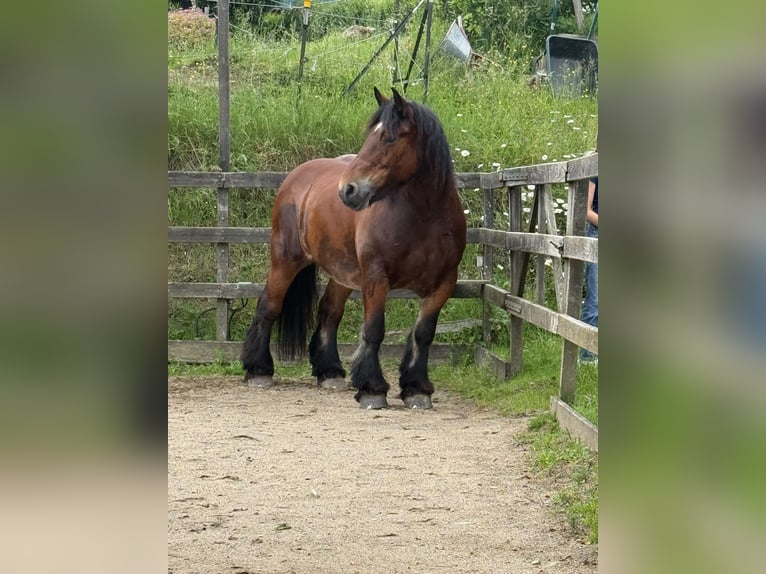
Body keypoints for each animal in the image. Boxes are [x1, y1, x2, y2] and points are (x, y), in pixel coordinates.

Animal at [241, 87, 467, 409]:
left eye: (389, 138)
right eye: (369, 135)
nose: (347, 190)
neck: (425, 218)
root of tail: (297, 177)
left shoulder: (444, 283)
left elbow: (423, 334)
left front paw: (416, 389)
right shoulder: (376, 278)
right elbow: (373, 330)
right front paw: (372, 388)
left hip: (342, 273)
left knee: (329, 311)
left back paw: (329, 372)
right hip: (285, 260)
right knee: (269, 305)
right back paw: (259, 370)